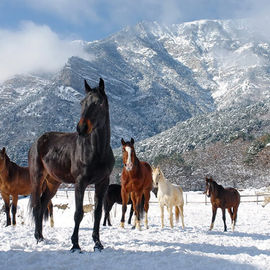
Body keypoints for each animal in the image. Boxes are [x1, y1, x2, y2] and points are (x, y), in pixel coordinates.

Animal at [28, 78, 115, 251]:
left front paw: (97, 243)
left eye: (99, 103)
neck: (97, 151)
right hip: (37, 178)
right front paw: (75, 244)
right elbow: (78, 213)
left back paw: (41, 237)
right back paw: (37, 237)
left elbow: (98, 213)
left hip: (53, 182)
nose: (81, 128)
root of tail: (37, 142)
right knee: (36, 206)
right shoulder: (80, 183)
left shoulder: (102, 183)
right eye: (82, 102)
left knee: (43, 204)